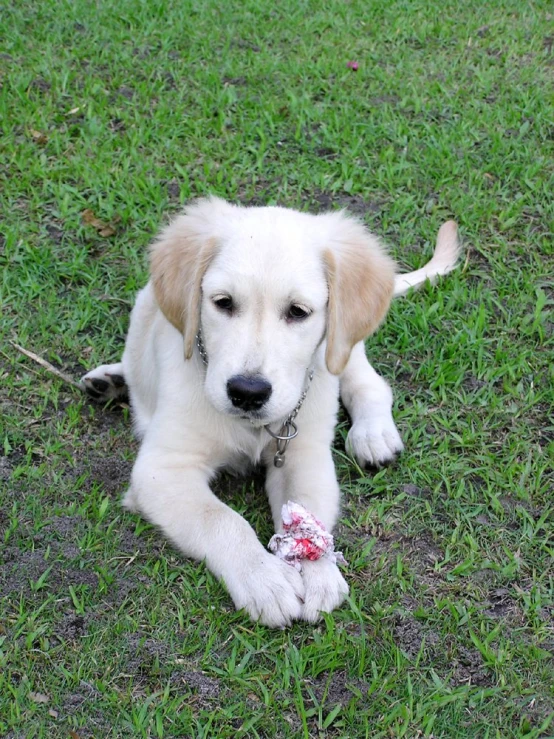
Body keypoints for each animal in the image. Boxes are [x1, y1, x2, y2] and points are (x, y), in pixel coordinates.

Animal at [83, 199, 458, 628]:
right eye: (223, 303)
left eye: (298, 311)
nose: (248, 392)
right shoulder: (162, 470)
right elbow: (221, 519)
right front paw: (263, 579)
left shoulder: (304, 453)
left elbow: (307, 506)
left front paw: (318, 571)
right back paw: (110, 380)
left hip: (341, 348)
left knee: (367, 379)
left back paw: (372, 434)